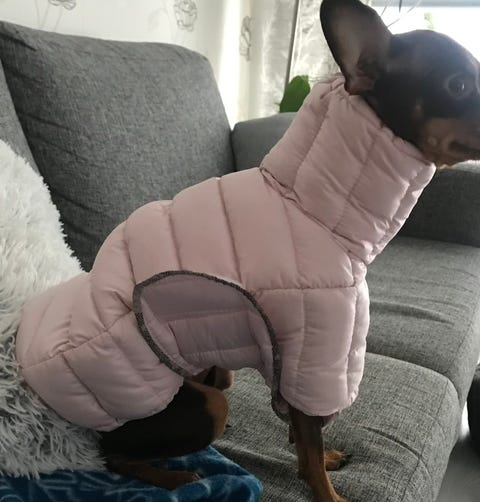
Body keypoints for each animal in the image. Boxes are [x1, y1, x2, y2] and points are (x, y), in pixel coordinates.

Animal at [15, 1, 480, 501]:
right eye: (457, 85)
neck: (307, 203)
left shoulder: (290, 359)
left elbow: (304, 435)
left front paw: (323, 458)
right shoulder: (313, 354)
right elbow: (310, 445)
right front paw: (327, 490)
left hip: (217, 373)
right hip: (198, 404)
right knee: (115, 457)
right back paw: (176, 477)